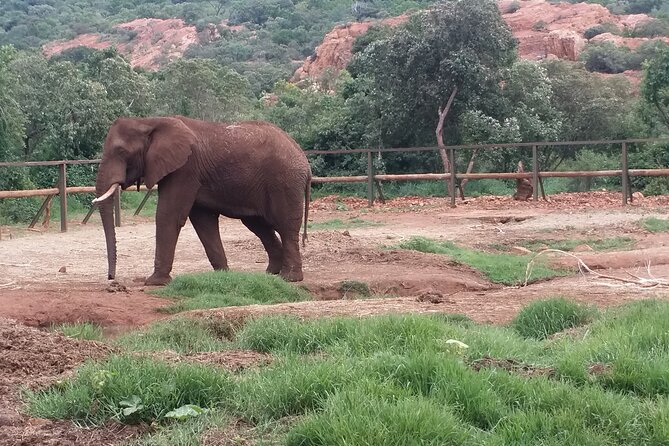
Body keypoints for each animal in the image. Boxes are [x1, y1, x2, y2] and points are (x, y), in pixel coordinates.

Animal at [93, 116, 312, 285]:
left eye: (121, 152)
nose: (111, 278)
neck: (148, 121)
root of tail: (303, 157)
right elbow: (203, 221)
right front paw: (223, 276)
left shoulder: (185, 168)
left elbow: (169, 215)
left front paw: (154, 282)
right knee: (258, 225)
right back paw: (270, 273)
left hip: (284, 182)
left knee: (286, 226)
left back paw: (289, 278)